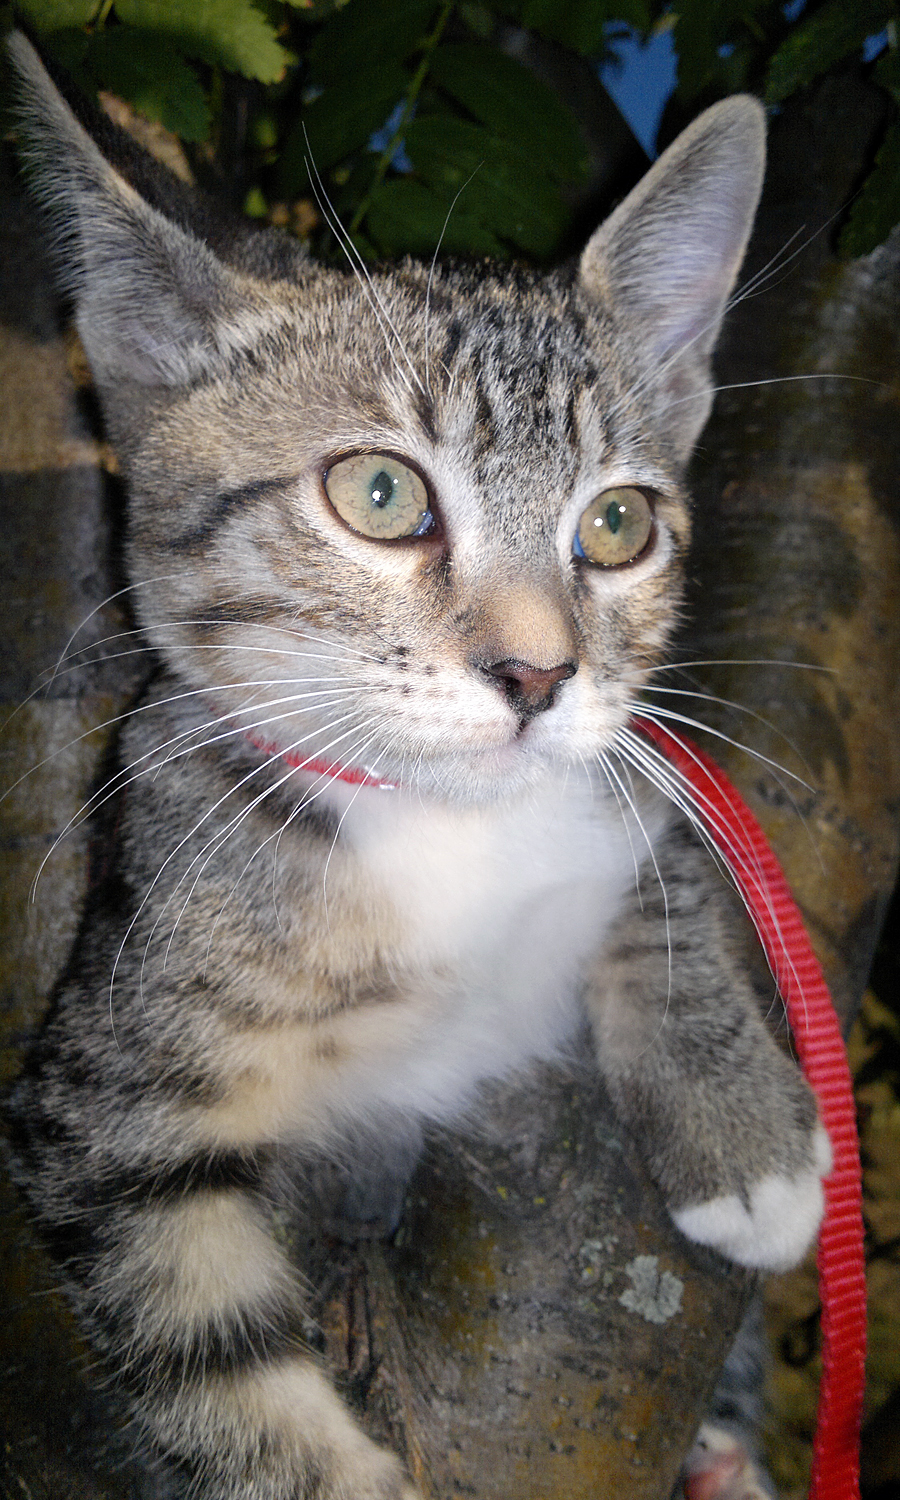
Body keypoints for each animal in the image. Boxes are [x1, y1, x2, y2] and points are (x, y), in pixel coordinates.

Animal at [3, 30, 830, 1500]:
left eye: (618, 525)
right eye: (380, 495)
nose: (539, 674)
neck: (449, 829)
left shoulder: (632, 766)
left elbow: (665, 858)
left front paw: (747, 1132)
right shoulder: (102, 1105)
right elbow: (214, 1355)